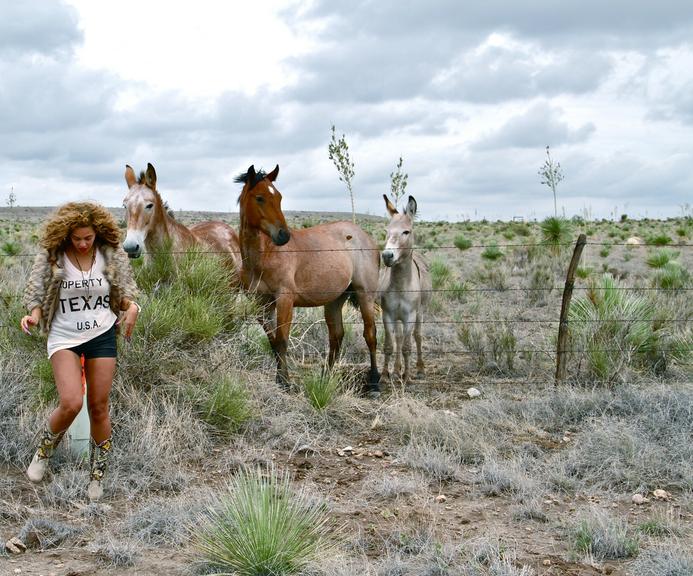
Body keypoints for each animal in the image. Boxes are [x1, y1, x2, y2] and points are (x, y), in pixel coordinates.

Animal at [235, 164, 382, 394]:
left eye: (279, 197)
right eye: (259, 198)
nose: (283, 236)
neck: (265, 255)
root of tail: (366, 237)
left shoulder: (285, 300)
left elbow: (282, 340)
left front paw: (285, 382)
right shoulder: (261, 304)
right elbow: (273, 341)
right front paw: (280, 379)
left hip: (364, 294)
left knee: (370, 334)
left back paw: (374, 382)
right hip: (334, 300)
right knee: (336, 336)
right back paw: (325, 378)